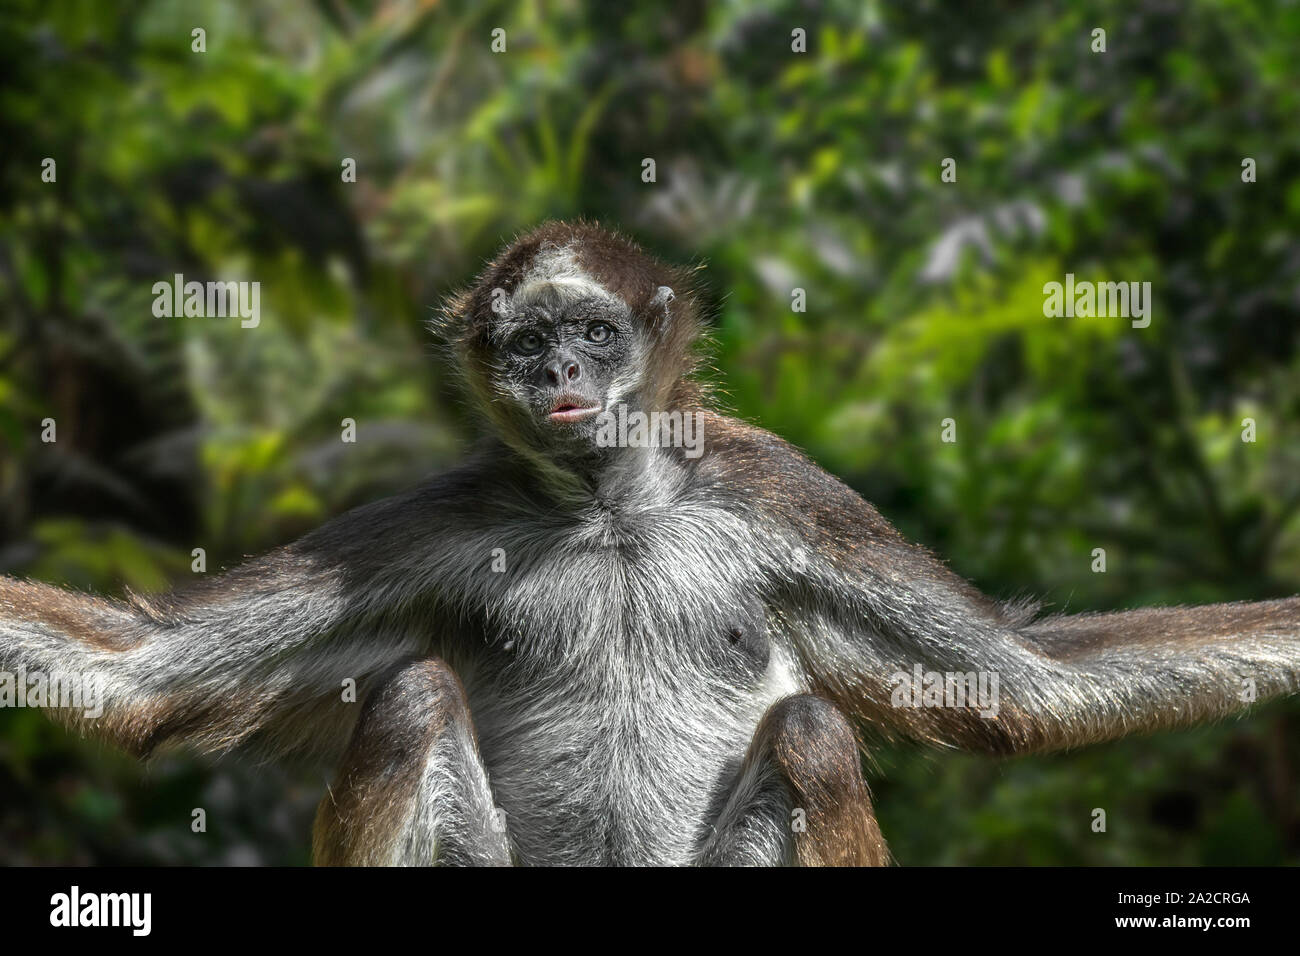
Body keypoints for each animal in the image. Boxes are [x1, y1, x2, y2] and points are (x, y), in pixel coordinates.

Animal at [1, 220, 1297, 866]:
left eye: (589, 331)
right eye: (526, 345)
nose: (558, 377)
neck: (612, 511)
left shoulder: (770, 484)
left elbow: (1028, 685)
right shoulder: (454, 509)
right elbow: (142, 675)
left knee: (813, 731)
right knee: (412, 697)